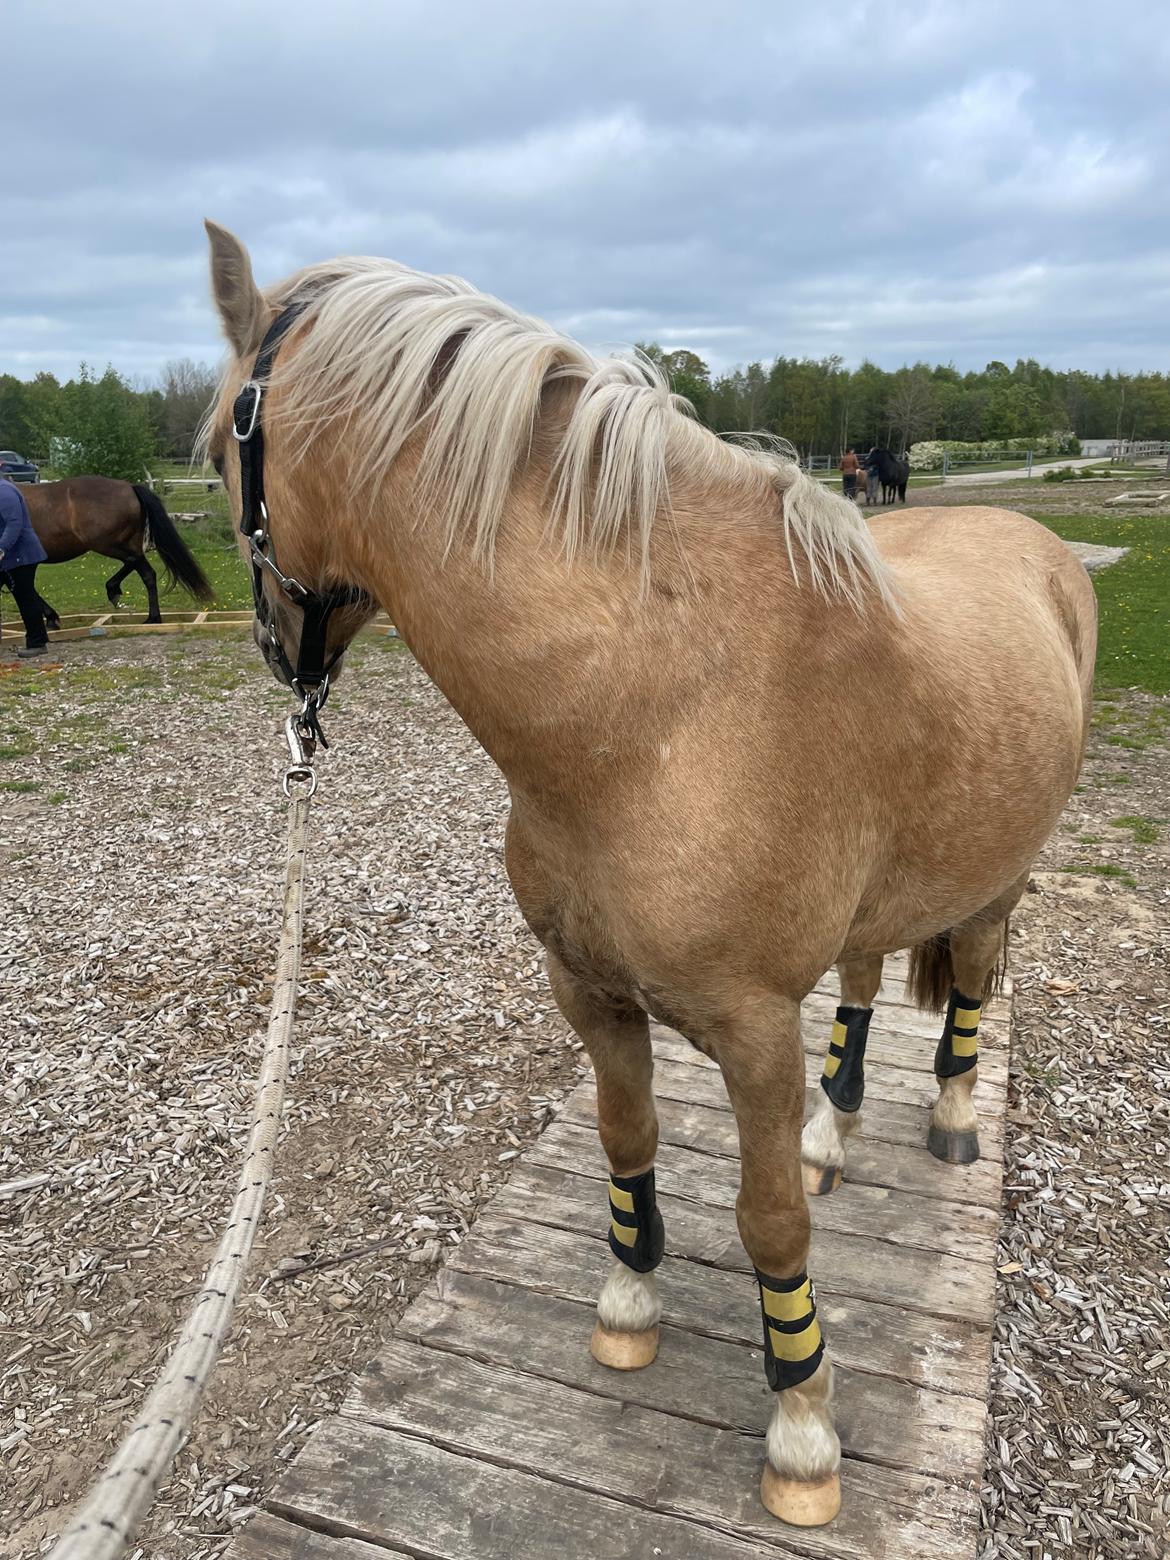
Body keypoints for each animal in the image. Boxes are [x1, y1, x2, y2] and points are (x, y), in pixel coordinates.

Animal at [15, 477, 214, 627]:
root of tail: (129, 487)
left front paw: (51, 618)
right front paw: (51, 618)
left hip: (104, 543)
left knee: (134, 560)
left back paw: (115, 592)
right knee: (147, 573)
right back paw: (152, 617)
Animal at [201, 221, 1097, 1530]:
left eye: (222, 451)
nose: (277, 649)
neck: (661, 709)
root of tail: (1036, 546)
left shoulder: (753, 1030)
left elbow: (768, 1222)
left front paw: (803, 1431)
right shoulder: (589, 991)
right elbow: (627, 1137)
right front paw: (628, 1305)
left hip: (997, 882)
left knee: (970, 982)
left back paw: (950, 1119)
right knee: (866, 978)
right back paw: (837, 1131)